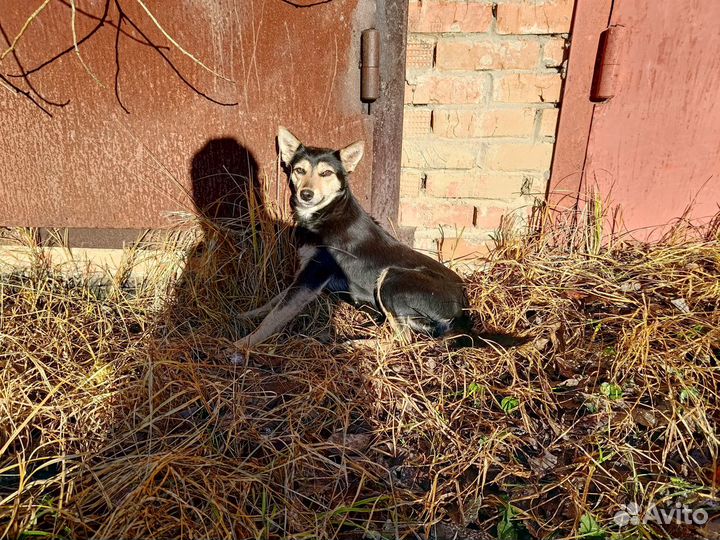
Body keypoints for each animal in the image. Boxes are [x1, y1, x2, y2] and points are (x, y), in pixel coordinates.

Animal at [231, 124, 476, 356]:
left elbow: (276, 315)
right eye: (299, 170)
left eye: (326, 173)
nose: (306, 194)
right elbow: (275, 301)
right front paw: (247, 314)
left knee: (403, 340)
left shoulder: (313, 275)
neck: (329, 213)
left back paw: (354, 344)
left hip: (392, 278)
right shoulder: (304, 274)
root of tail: (464, 306)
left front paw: (243, 344)